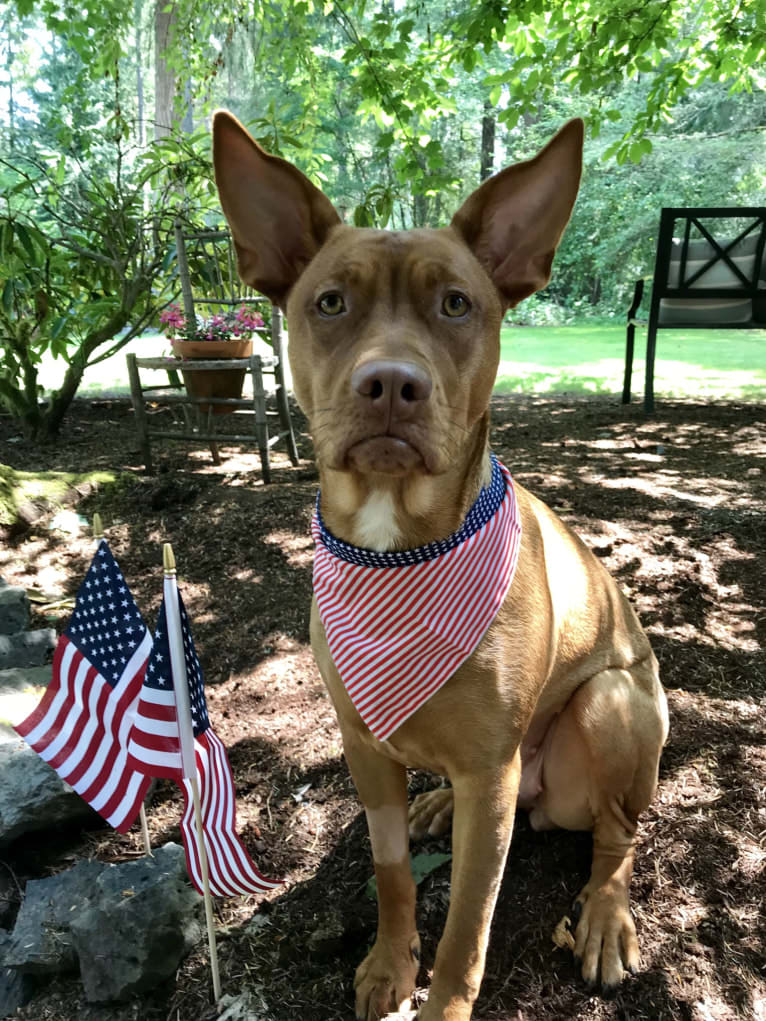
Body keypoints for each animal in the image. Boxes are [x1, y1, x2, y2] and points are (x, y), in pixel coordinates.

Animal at [213, 111, 669, 1021]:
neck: (398, 548)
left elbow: (467, 924)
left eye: (457, 303)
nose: (392, 383)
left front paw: (442, 1001)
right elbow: (391, 874)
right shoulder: (362, 743)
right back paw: (434, 803)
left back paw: (605, 916)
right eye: (330, 302)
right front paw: (390, 966)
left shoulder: (490, 775)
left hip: (606, 703)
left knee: (619, 834)